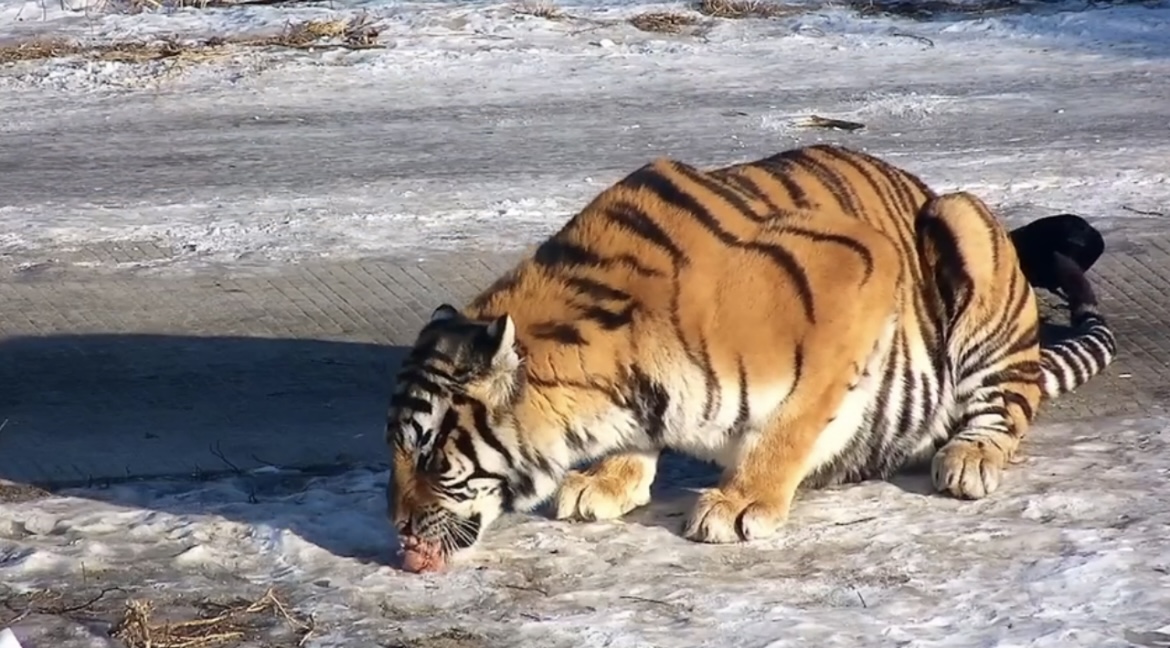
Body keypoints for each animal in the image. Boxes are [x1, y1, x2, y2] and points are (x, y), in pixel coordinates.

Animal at [383, 142, 1113, 559]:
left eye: (430, 455)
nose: (399, 532)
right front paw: (608, 480)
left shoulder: (855, 266)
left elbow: (793, 419)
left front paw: (742, 502)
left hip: (965, 223)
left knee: (1006, 401)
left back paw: (971, 456)